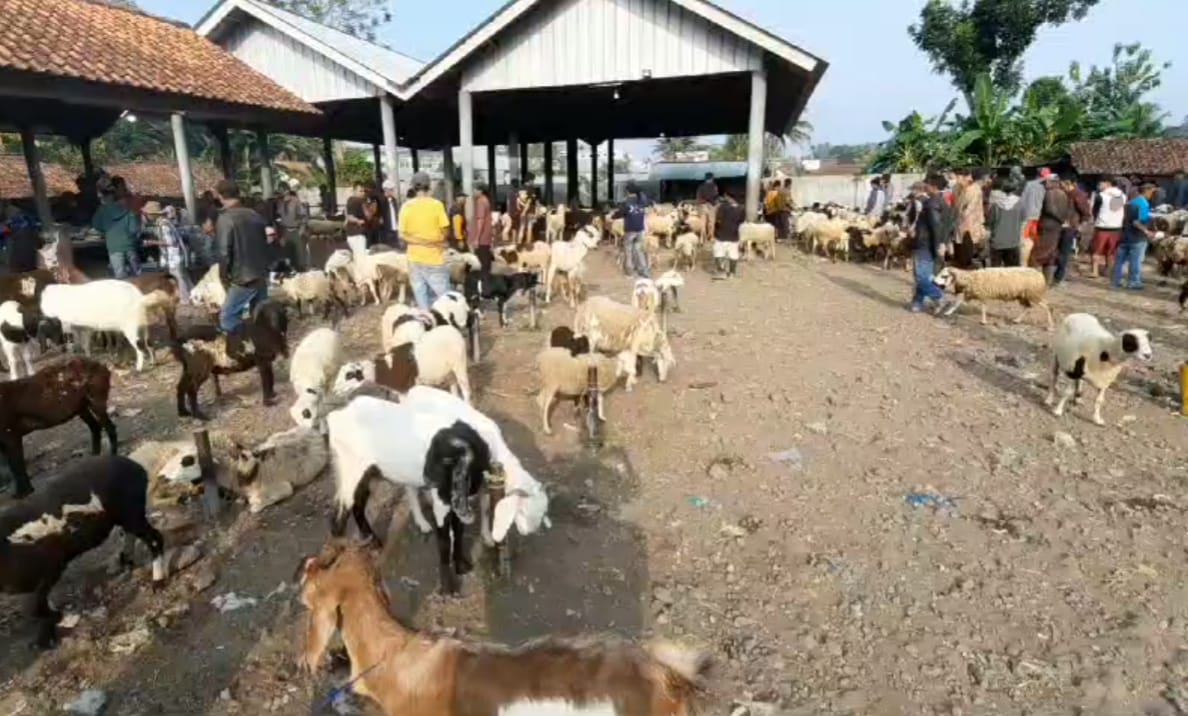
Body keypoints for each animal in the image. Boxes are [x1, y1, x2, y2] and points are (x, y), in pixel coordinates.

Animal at [0, 358, 115, 498]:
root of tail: (104, 366)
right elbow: (12, 467)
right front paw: (20, 492)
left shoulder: (11, 435)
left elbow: (17, 465)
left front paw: (25, 492)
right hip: (81, 408)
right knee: (95, 427)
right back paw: (93, 456)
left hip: (96, 401)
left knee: (109, 427)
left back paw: (113, 455)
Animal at [1, 458, 167, 650]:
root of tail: (137, 466)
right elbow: (38, 606)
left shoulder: (50, 568)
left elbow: (36, 609)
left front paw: (59, 623)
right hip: (125, 516)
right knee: (130, 534)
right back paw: (124, 563)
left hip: (130, 511)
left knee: (154, 538)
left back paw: (157, 582)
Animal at [332, 325, 470, 403]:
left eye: (349, 375)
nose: (334, 390)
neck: (387, 369)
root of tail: (453, 330)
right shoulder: (401, 392)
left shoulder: (406, 389)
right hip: (449, 369)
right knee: (453, 385)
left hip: (460, 364)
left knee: (466, 391)